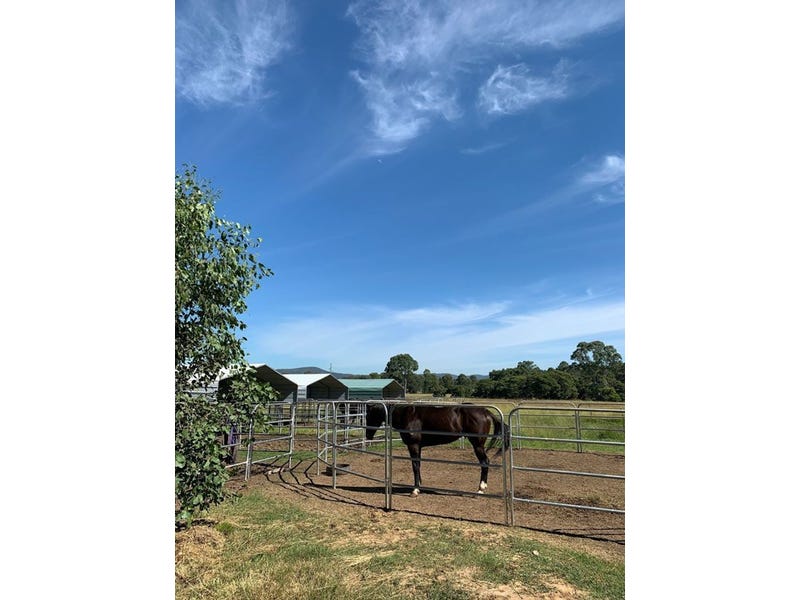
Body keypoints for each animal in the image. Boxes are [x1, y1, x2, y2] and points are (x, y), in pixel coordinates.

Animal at [365, 403, 508, 497]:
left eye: (369, 416)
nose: (368, 435)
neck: (407, 415)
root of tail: (485, 412)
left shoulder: (413, 445)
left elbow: (415, 466)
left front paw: (415, 490)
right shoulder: (418, 447)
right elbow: (418, 465)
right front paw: (419, 485)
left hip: (477, 445)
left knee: (485, 462)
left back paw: (480, 489)